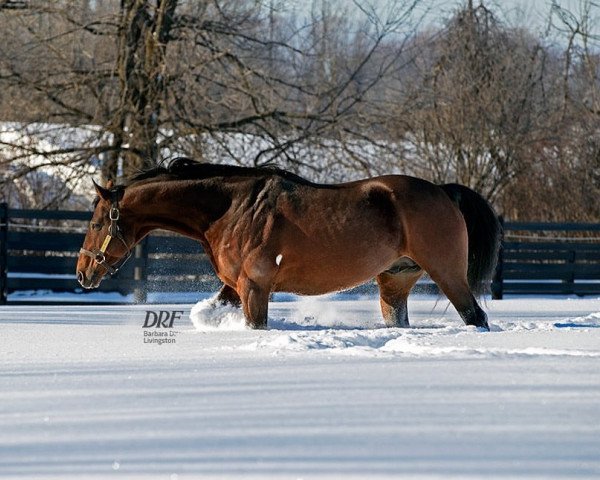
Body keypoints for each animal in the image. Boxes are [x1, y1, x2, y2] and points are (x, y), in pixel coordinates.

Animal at [76, 158, 502, 330]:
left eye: (96, 221)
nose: (83, 273)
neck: (233, 208)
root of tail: (445, 191)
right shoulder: (235, 287)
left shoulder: (254, 287)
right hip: (395, 281)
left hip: (447, 274)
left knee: (476, 317)